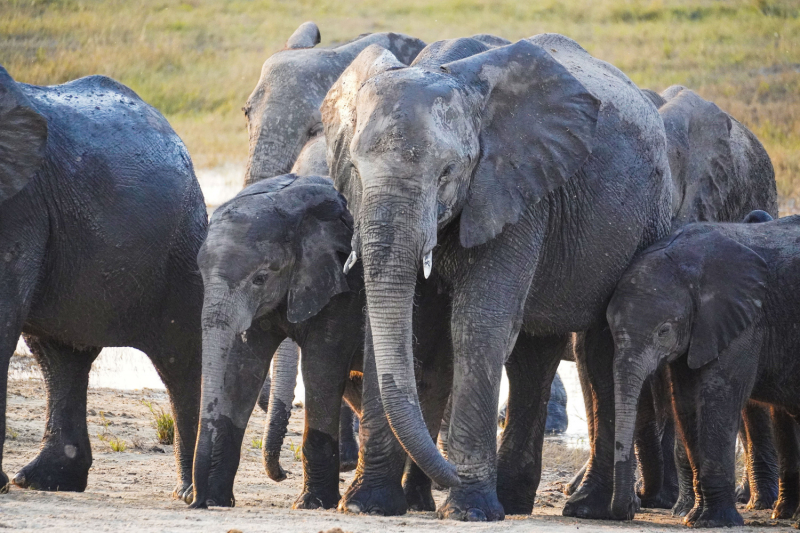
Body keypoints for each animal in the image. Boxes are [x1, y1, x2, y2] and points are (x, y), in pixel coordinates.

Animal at [0, 65, 208, 494]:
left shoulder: (21, 204)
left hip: (182, 247)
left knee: (181, 357)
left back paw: (192, 492)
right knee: (59, 357)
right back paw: (45, 481)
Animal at [608, 213, 800, 528]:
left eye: (663, 331)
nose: (629, 509)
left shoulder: (745, 322)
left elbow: (718, 396)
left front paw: (714, 521)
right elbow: (686, 402)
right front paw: (695, 518)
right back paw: (785, 513)